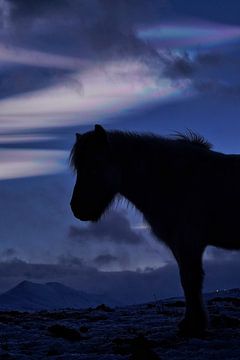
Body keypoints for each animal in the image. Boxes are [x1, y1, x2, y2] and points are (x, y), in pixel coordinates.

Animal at [69, 124, 240, 338]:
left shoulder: (188, 242)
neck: (177, 181)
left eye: (94, 165)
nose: (77, 209)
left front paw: (193, 324)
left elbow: (190, 280)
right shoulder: (180, 244)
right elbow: (188, 280)